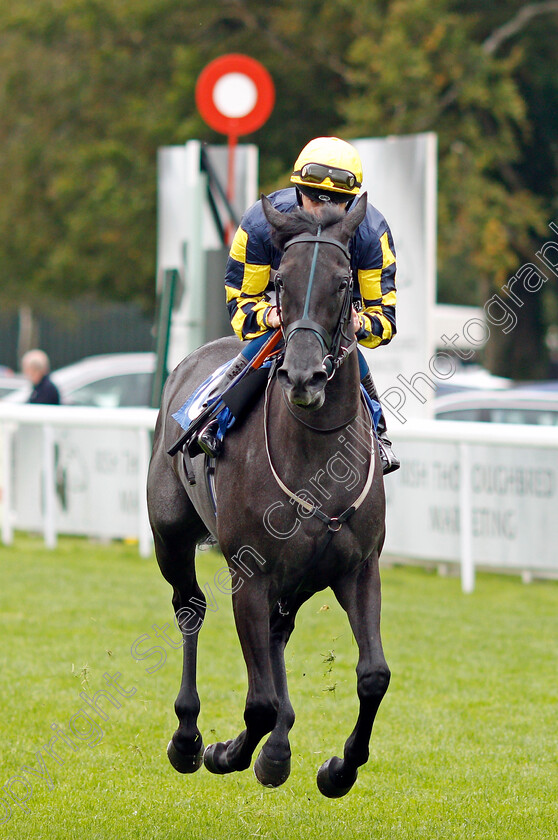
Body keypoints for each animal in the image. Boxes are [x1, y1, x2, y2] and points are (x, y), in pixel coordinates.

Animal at [147, 194, 392, 796]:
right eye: (280, 280)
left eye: (344, 283)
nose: (303, 376)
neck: (313, 451)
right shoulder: (250, 574)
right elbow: (255, 702)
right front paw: (223, 752)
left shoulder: (358, 568)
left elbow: (373, 676)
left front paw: (338, 769)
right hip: (171, 536)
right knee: (189, 609)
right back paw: (189, 737)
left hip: (300, 575)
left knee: (280, 633)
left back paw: (278, 751)